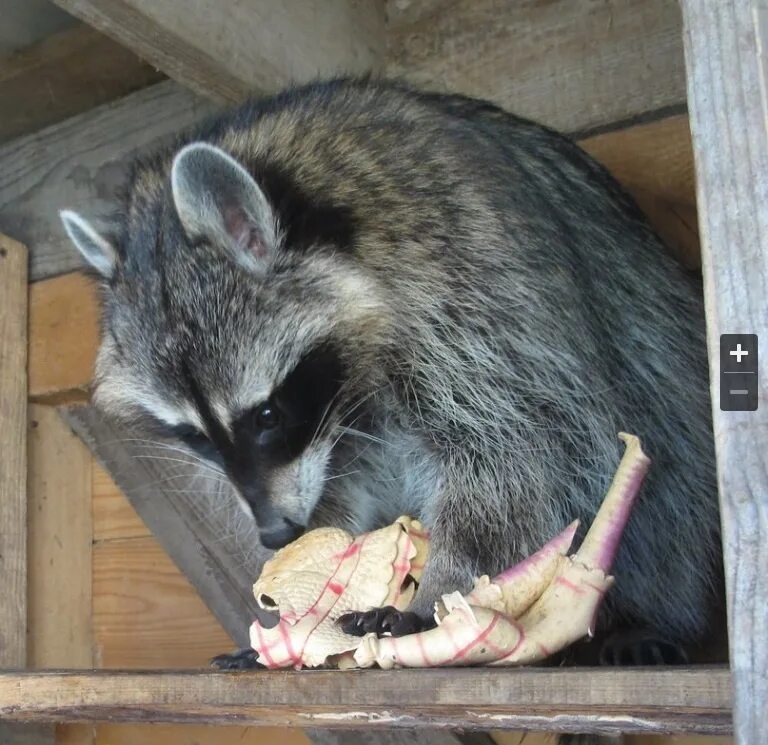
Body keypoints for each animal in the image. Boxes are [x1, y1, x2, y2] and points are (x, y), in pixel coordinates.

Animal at [58, 78, 720, 664]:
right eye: (193, 436)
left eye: (266, 414)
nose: (275, 534)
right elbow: (345, 482)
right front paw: (308, 584)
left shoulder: (472, 291)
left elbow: (515, 453)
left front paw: (442, 592)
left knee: (667, 463)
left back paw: (652, 613)